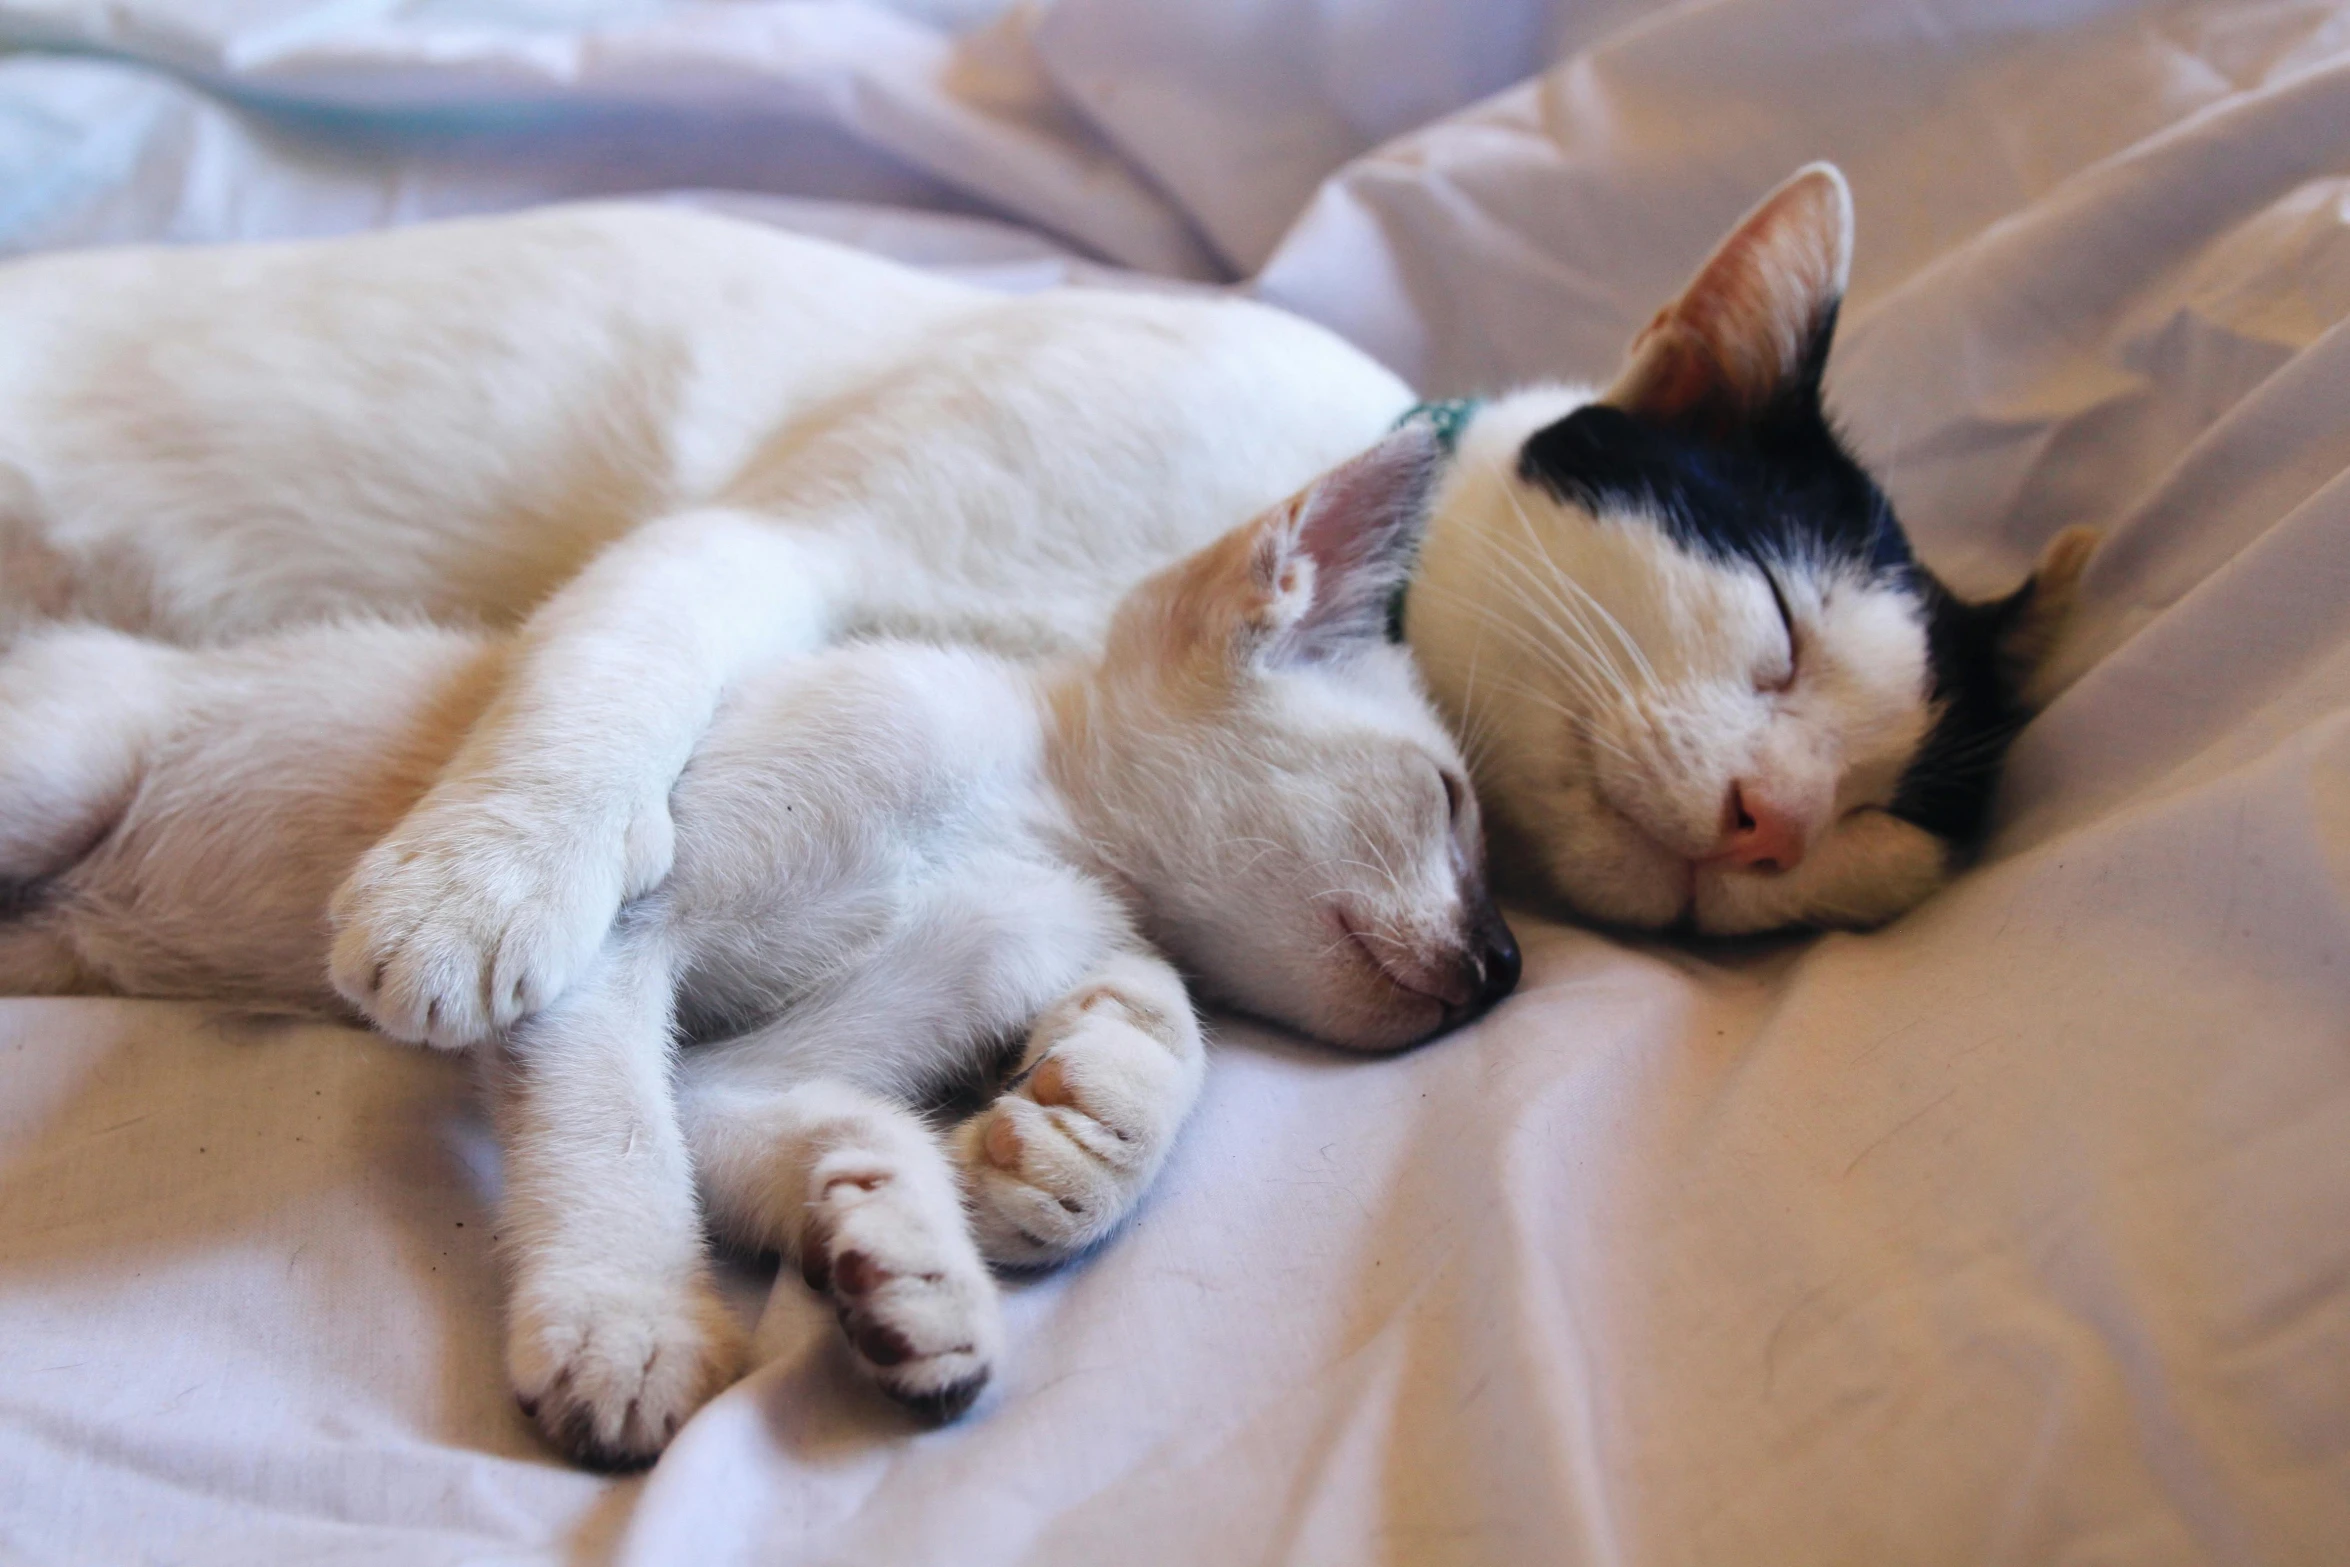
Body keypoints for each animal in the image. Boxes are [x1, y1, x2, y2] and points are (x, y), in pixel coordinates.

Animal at [0, 162, 2096, 1052]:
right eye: (1775, 625)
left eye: (1881, 832)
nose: (1771, 819)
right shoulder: (756, 543)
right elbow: (611, 676)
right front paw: (486, 882)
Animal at [0, 432, 1504, 1475]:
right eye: (1446, 801)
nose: (1500, 968)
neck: (1040, 820)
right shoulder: (628, 929)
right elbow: (611, 1129)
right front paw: (631, 1321)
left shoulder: (844, 1017)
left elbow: (723, 1116)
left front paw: (911, 1262)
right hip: (61, 767)